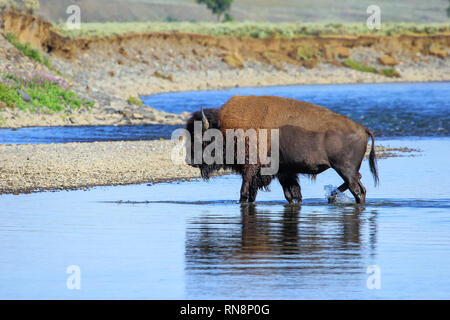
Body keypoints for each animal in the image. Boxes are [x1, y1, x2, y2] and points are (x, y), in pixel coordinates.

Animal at [185, 96, 378, 204]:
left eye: (202, 138)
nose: (189, 160)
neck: (226, 128)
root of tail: (363, 128)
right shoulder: (283, 172)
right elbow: (291, 194)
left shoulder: (250, 169)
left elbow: (244, 192)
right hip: (346, 170)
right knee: (357, 182)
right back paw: (331, 196)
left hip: (344, 169)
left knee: (358, 189)